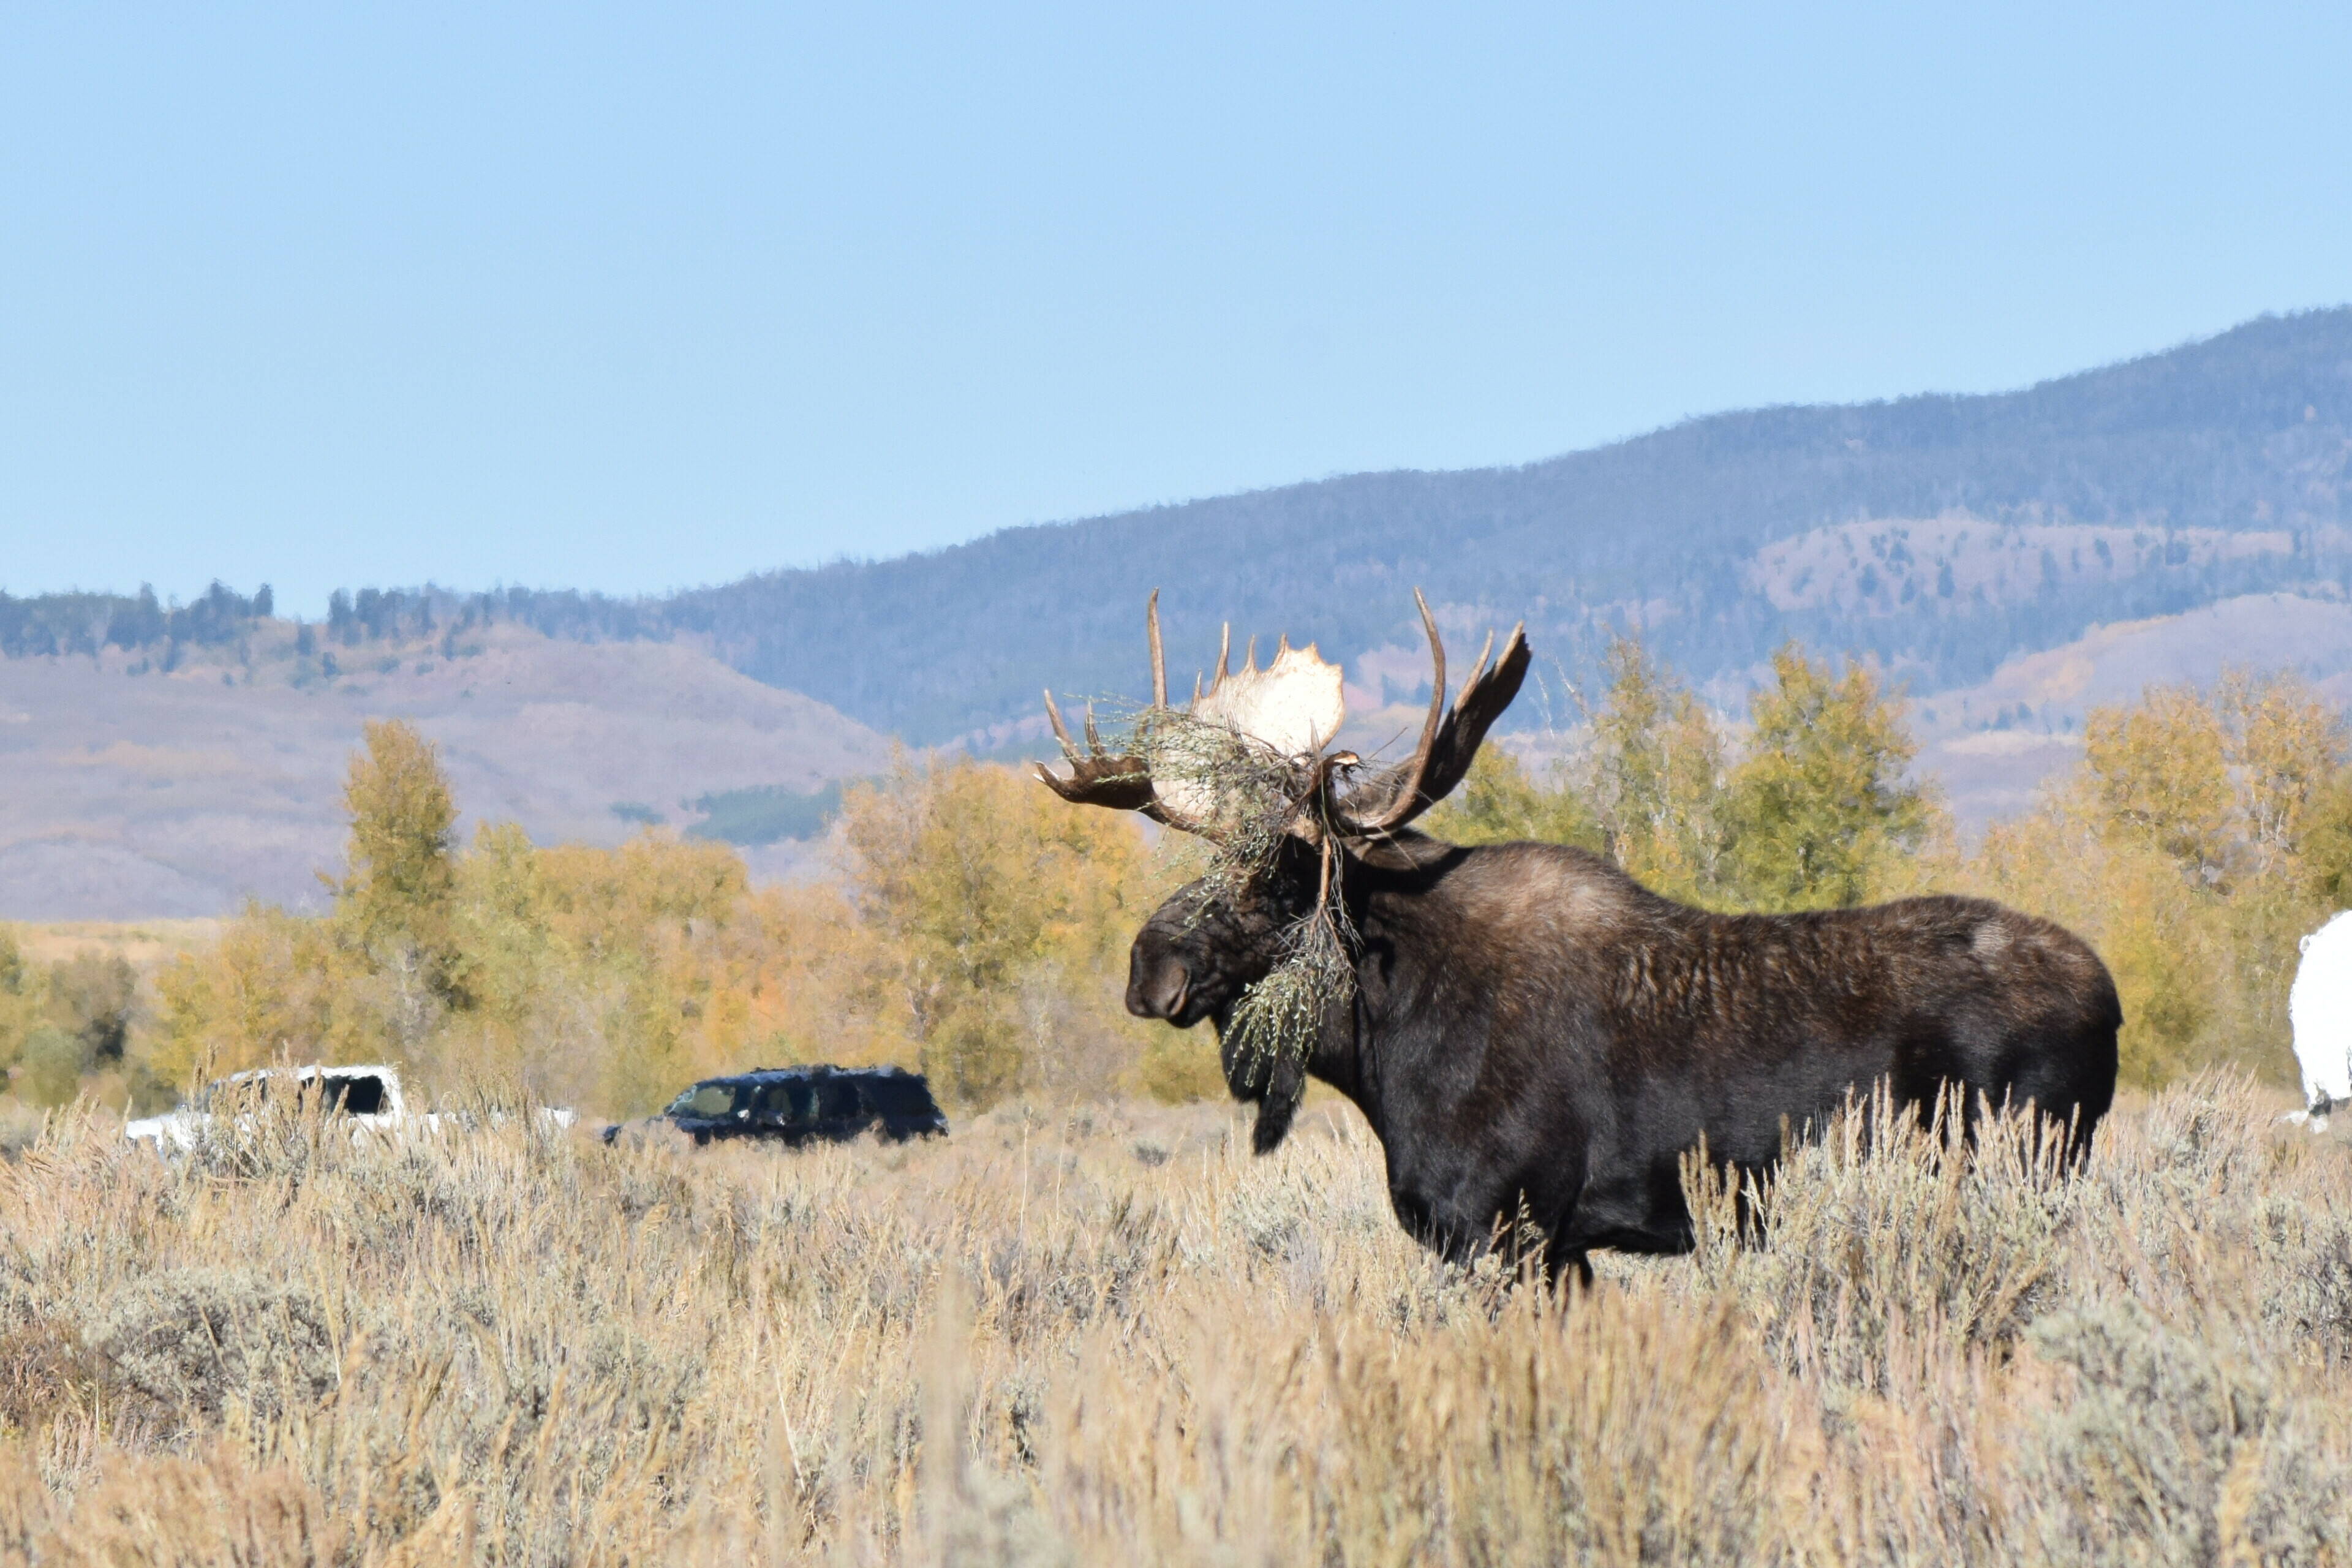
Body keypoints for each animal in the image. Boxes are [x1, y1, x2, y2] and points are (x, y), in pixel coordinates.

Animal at [1039, 595, 2126, 1278]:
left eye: (1280, 878)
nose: (1149, 967)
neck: (1388, 1055)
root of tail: (2111, 999)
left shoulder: (1502, 1228)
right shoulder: (1558, 1247)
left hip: (2027, 1165)